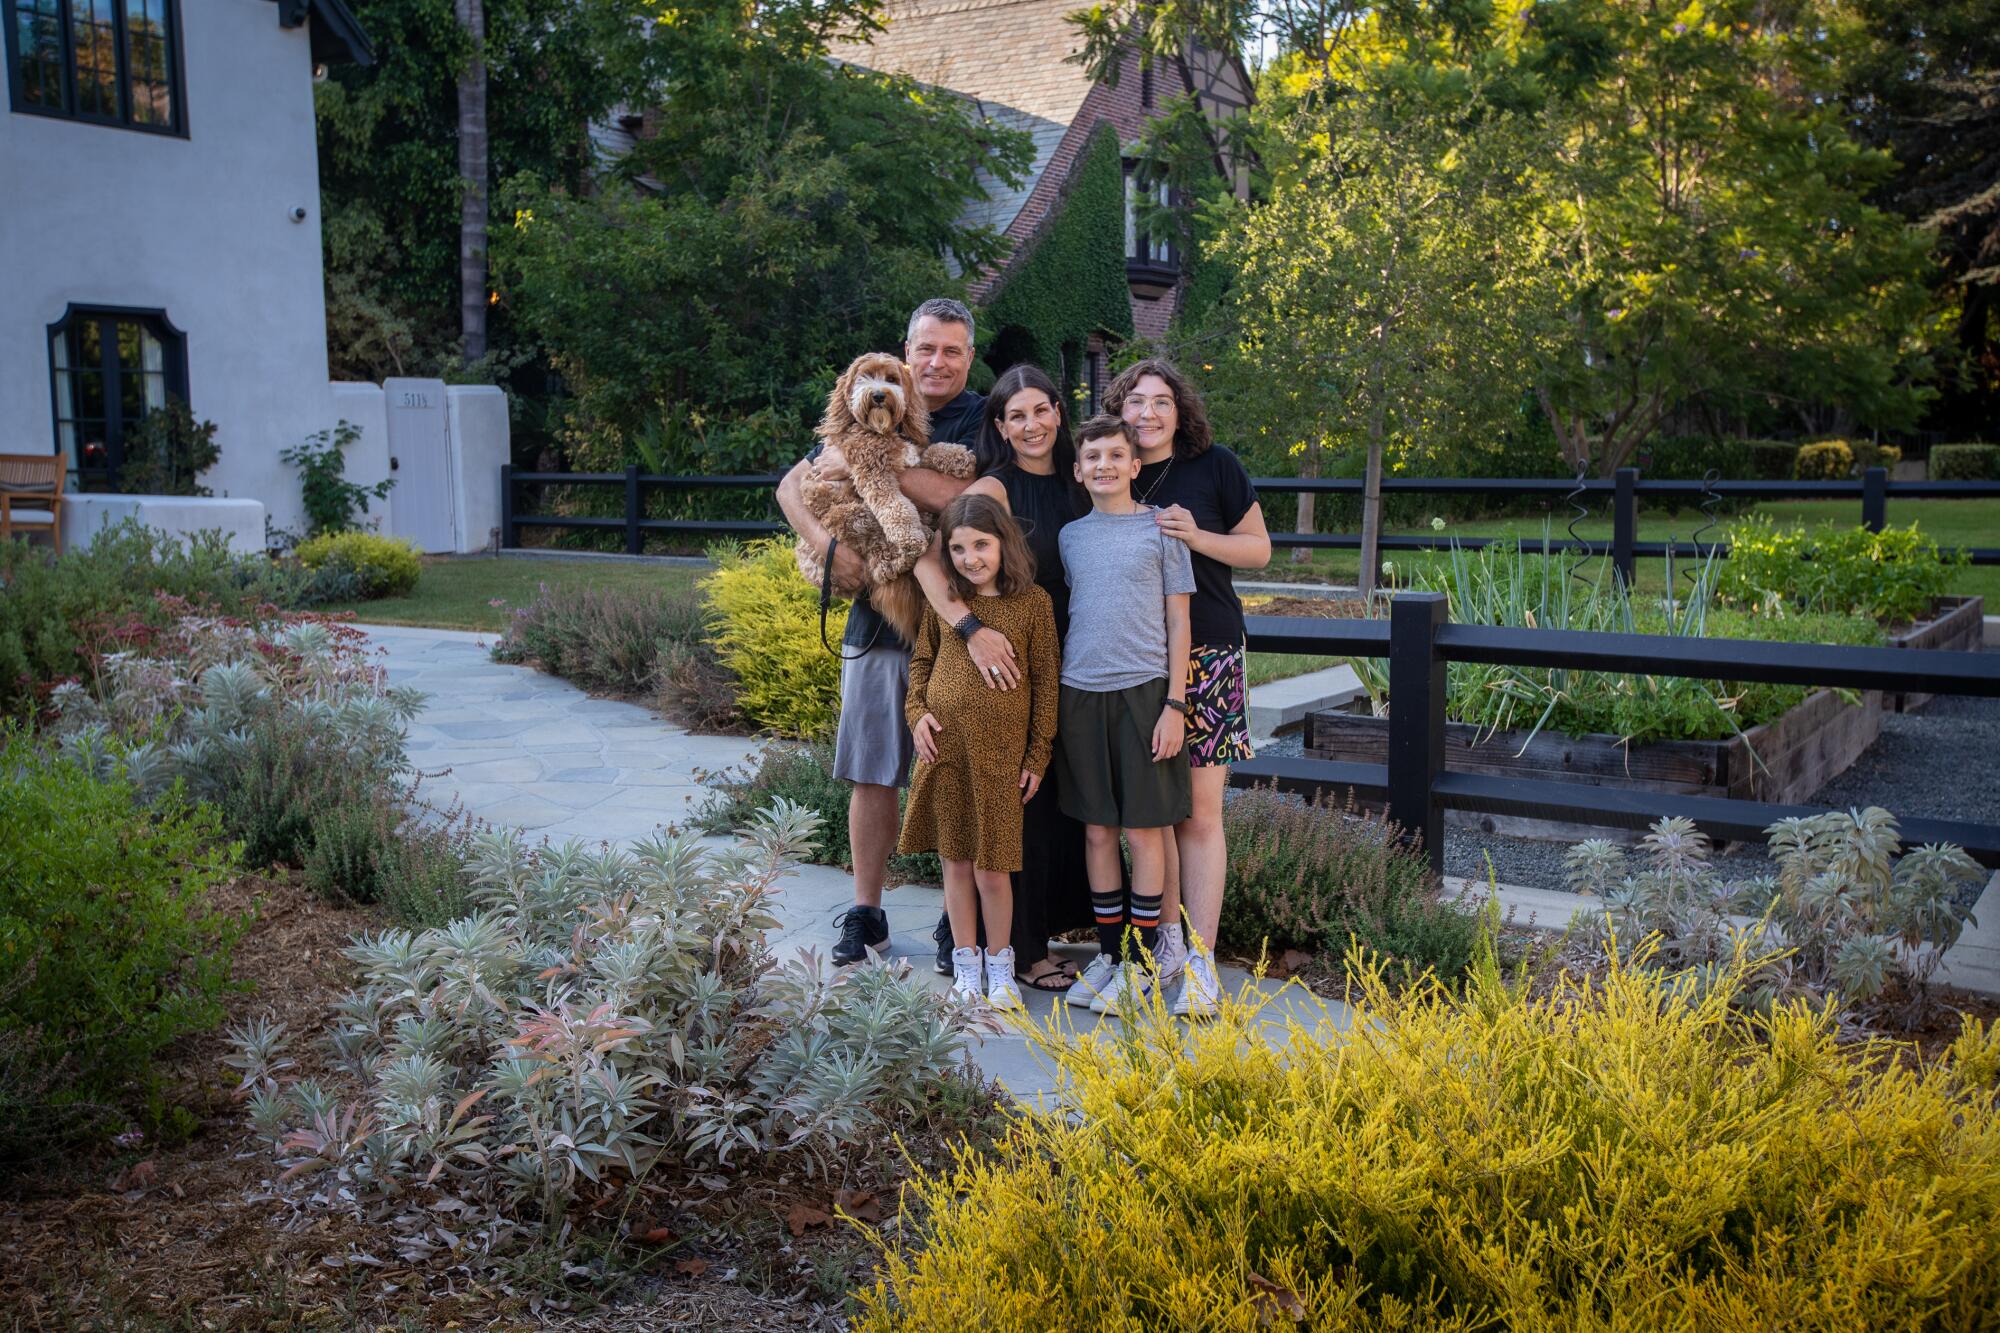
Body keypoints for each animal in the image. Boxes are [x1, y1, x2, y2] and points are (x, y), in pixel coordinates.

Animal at [800, 350, 980, 640]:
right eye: (863, 377)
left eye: (892, 379)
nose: (878, 395)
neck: (880, 430)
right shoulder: (873, 474)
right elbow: (895, 507)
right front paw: (910, 537)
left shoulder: (912, 456)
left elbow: (931, 451)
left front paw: (959, 456)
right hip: (852, 517)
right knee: (881, 564)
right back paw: (916, 541)